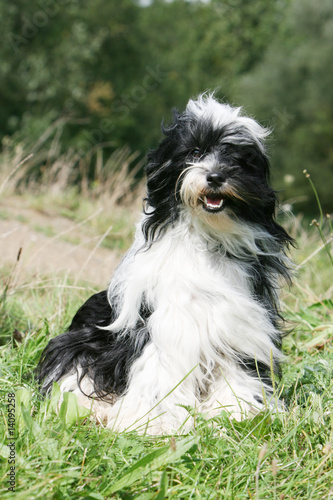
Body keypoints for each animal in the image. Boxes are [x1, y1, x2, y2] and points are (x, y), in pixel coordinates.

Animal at [36, 93, 292, 434]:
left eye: (238, 158)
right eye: (195, 152)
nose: (215, 176)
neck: (207, 237)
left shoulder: (238, 323)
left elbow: (235, 371)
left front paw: (236, 412)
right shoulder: (168, 322)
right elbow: (159, 371)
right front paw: (153, 422)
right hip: (83, 339)